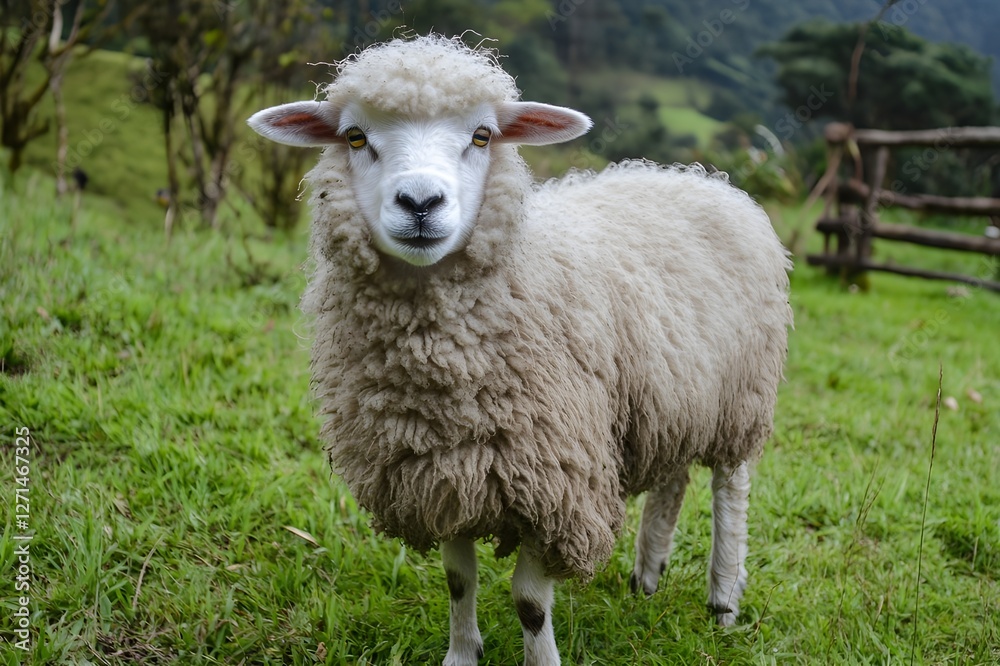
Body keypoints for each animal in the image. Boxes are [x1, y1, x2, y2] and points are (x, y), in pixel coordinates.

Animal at [247, 35, 792, 666]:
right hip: (672, 394)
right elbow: (458, 580)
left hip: (741, 396)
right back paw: (647, 577)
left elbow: (530, 601)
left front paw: (540, 655)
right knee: (673, 476)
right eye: (355, 137)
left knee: (731, 488)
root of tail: (700, 178)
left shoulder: (554, 477)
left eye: (483, 135)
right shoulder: (445, 470)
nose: (420, 203)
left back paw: (723, 600)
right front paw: (461, 654)